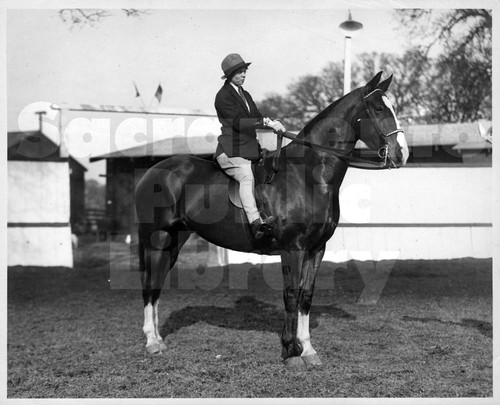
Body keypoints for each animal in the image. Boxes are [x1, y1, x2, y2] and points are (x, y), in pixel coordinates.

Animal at [135, 71, 408, 368]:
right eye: (379, 109)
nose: (402, 154)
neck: (308, 176)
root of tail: (152, 172)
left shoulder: (316, 249)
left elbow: (306, 296)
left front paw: (308, 349)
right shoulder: (293, 248)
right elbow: (291, 295)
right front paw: (290, 350)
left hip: (175, 239)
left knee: (157, 283)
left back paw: (158, 340)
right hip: (157, 238)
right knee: (149, 286)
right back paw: (150, 342)